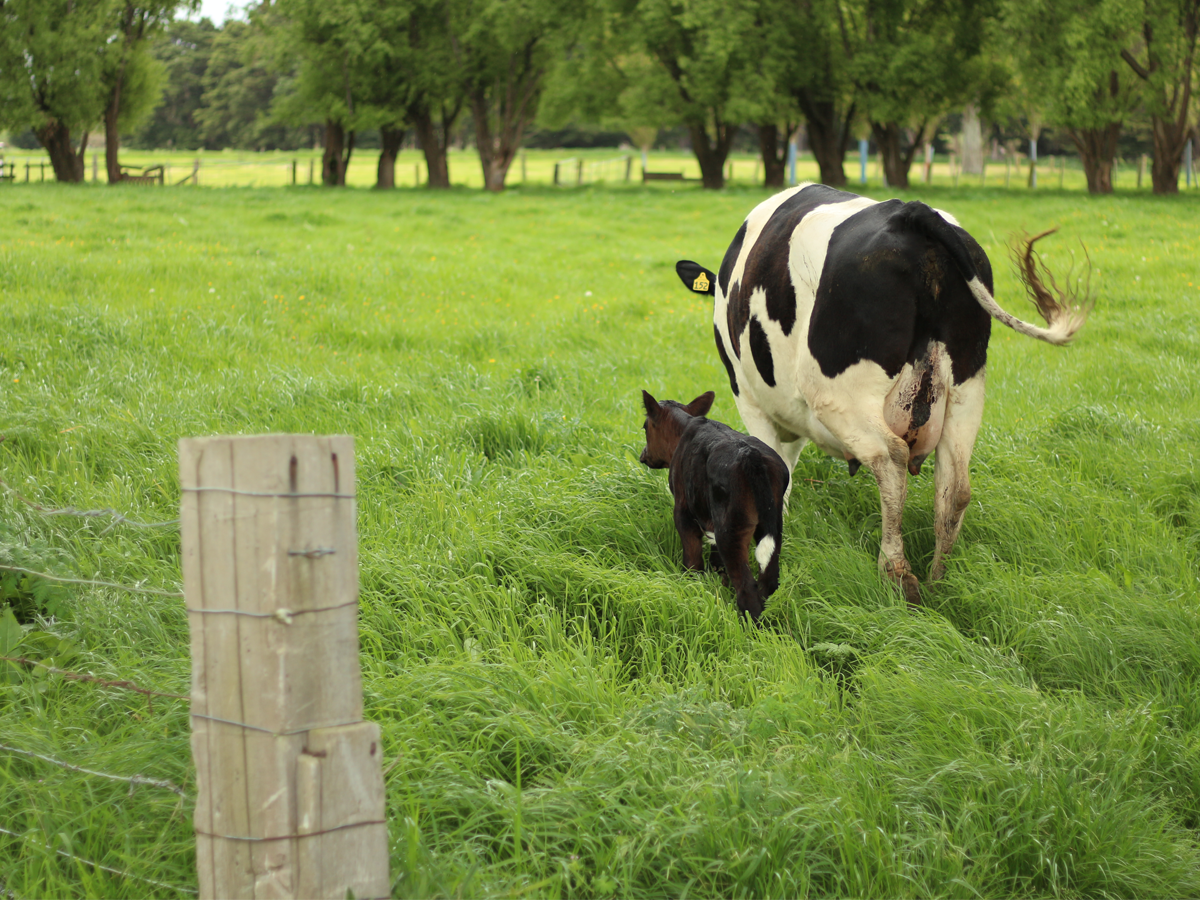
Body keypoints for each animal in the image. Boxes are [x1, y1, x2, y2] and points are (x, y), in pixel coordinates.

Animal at [676, 183, 1089, 607]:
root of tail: (912, 214)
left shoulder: (750, 399)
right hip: (967, 389)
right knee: (954, 485)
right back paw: (939, 580)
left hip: (839, 393)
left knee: (890, 459)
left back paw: (896, 573)